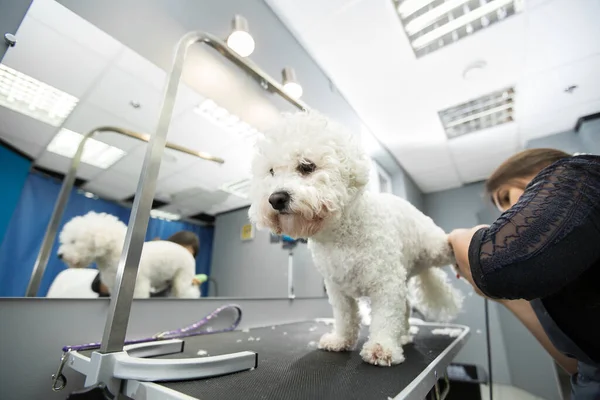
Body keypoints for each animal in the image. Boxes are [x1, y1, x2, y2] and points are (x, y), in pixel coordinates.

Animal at [57, 211, 200, 298]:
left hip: (182, 277)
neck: (116, 254)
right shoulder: (112, 285)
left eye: (73, 241)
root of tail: (188, 255)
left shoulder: (138, 285)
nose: (60, 255)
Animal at [248, 111, 464, 368]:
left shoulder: (386, 284)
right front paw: (340, 340)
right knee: (406, 307)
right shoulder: (337, 289)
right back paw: (403, 334)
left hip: (433, 248)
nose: (276, 198)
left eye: (306, 166)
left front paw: (382, 348)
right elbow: (345, 317)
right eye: (271, 171)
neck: (341, 234)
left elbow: (385, 317)